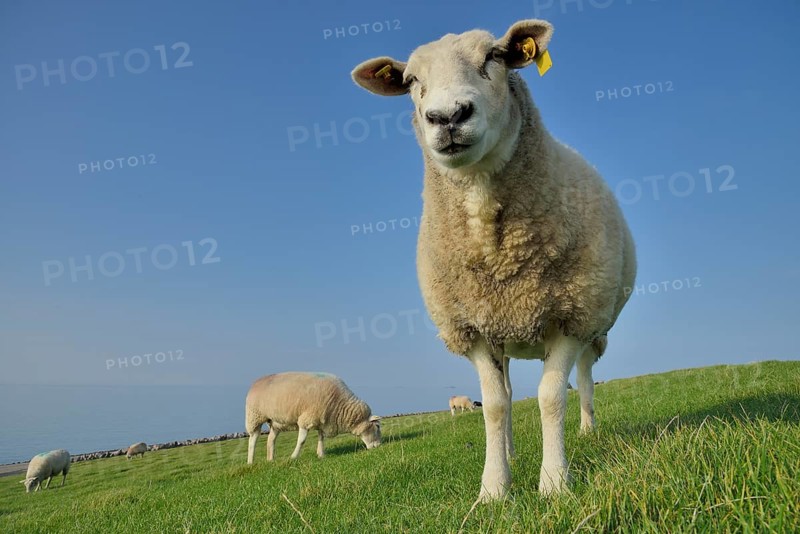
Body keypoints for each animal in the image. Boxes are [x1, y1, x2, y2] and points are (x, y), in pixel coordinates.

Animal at [245, 372, 382, 464]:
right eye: (377, 426)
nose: (379, 446)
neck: (340, 405)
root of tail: (256, 382)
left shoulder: (322, 420)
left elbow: (321, 438)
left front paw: (321, 454)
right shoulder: (306, 419)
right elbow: (301, 441)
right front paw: (293, 457)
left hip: (275, 422)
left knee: (271, 440)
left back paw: (271, 460)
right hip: (254, 417)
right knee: (252, 440)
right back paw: (250, 462)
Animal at [352, 19, 636, 502]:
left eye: (495, 57)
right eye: (411, 80)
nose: (447, 117)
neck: (495, 249)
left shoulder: (571, 316)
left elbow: (551, 397)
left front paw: (555, 482)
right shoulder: (472, 328)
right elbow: (496, 406)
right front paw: (494, 487)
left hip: (593, 321)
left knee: (583, 377)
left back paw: (587, 429)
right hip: (504, 328)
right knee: (505, 390)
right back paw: (512, 452)